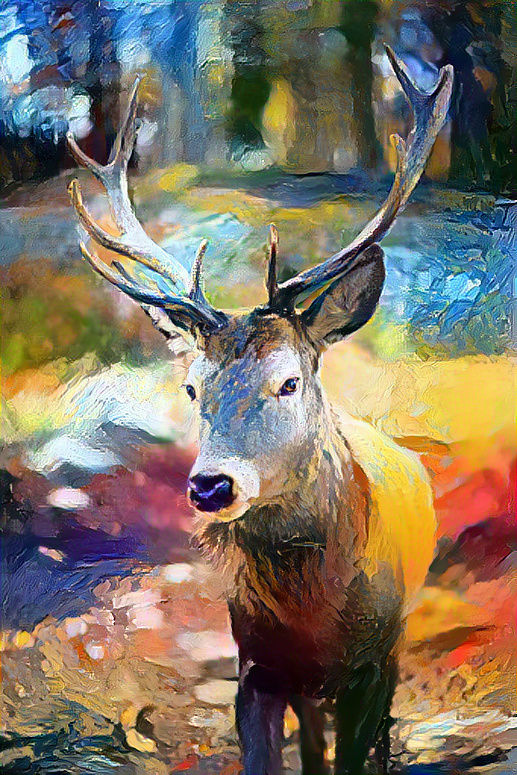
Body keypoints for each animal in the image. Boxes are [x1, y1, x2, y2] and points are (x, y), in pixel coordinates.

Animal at [67, 47, 453, 775]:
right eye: (193, 388)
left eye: (288, 382)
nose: (212, 485)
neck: (315, 616)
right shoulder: (255, 667)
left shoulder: (372, 665)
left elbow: (359, 750)